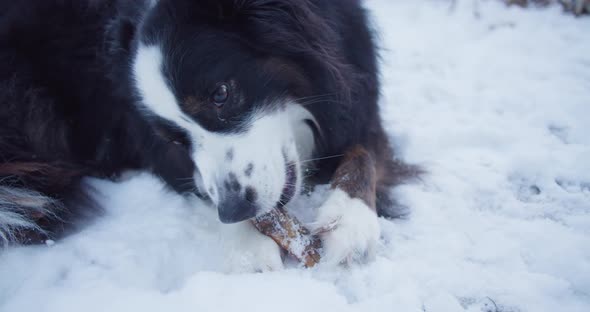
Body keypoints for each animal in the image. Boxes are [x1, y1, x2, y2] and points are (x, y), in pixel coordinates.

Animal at [0, 0, 416, 268]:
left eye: (220, 94)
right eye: (174, 138)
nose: (233, 211)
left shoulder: (355, 88)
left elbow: (363, 153)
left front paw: (348, 223)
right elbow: (198, 183)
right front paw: (248, 246)